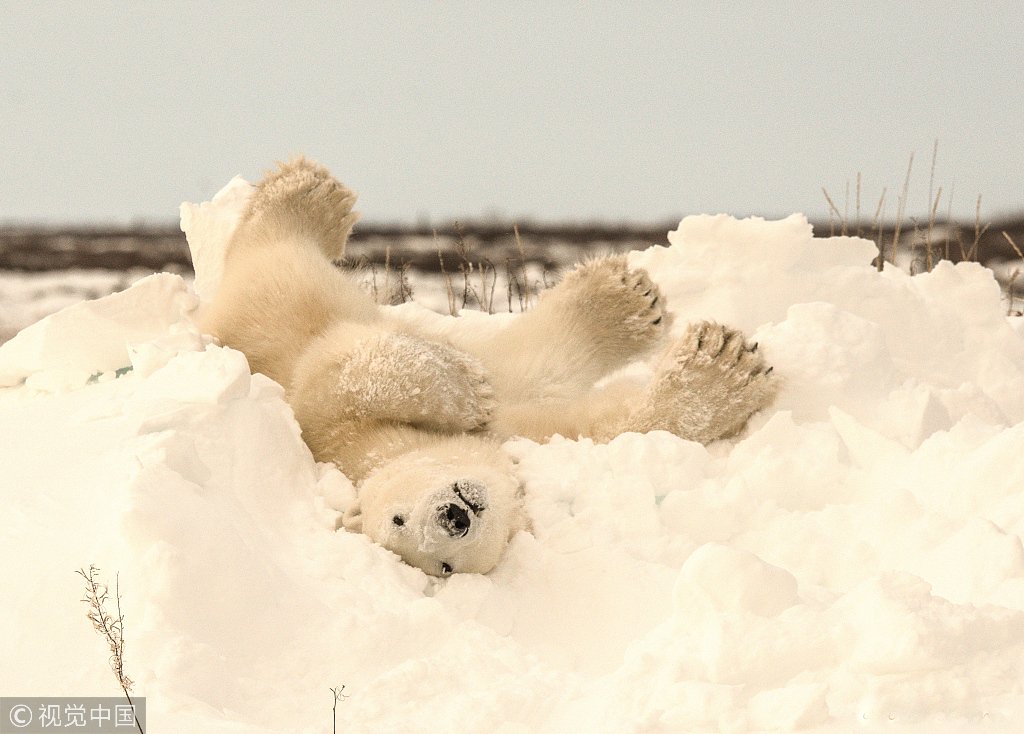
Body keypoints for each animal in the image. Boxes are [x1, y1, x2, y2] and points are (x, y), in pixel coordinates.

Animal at [201, 157, 774, 577]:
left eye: (400, 515)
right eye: (443, 566)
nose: (453, 516)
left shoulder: (345, 431)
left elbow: (331, 378)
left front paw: (468, 387)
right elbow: (602, 422)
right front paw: (721, 373)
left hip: (277, 303)